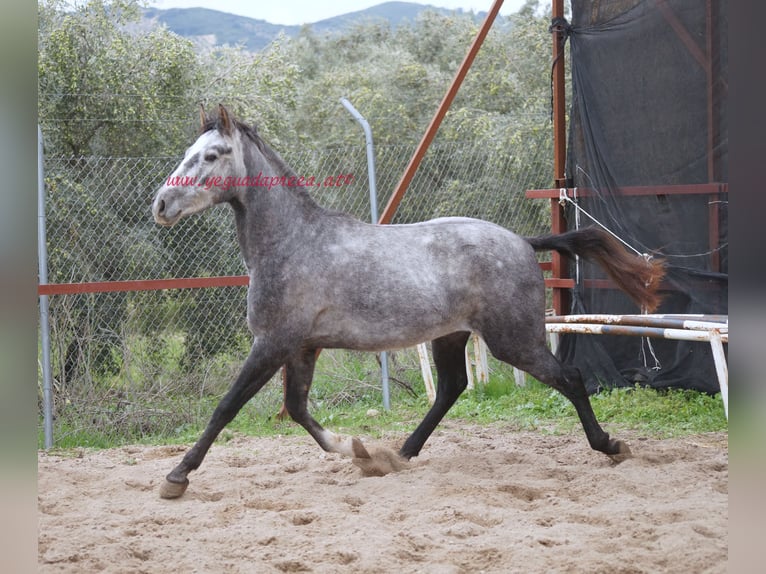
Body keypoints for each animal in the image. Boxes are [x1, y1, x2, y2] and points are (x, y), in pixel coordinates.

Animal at [152, 106, 664, 502]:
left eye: (211, 155)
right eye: (189, 151)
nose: (161, 205)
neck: (292, 243)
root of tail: (522, 241)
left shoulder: (272, 343)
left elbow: (226, 407)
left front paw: (176, 478)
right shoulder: (300, 347)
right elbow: (297, 410)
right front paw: (360, 452)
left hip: (513, 340)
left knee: (570, 378)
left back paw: (610, 446)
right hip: (452, 336)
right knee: (452, 388)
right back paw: (400, 454)